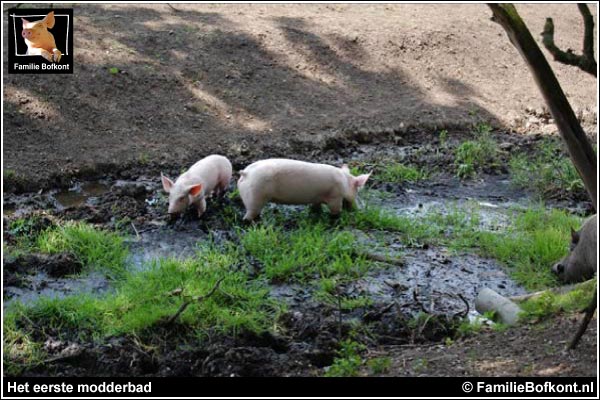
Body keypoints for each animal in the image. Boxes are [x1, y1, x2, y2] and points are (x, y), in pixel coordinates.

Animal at [238, 159, 370, 222]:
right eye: (357, 190)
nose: (359, 209)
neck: (344, 182)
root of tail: (246, 173)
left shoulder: (317, 197)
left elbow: (316, 207)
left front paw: (315, 213)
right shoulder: (335, 197)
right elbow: (336, 211)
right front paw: (336, 217)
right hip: (255, 195)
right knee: (249, 216)